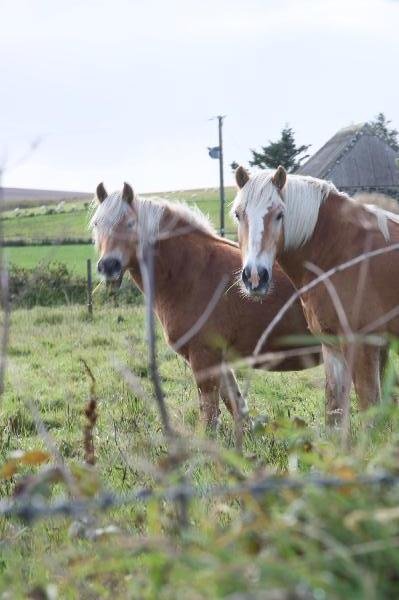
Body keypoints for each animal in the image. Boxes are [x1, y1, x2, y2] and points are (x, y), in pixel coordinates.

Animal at [90, 180, 322, 428]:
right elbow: (236, 406)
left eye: (131, 223)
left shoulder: (204, 358)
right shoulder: (220, 360)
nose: (109, 266)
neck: (193, 271)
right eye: (97, 224)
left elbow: (209, 416)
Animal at [233, 166, 399, 424]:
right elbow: (334, 412)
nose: (255, 277)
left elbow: (370, 413)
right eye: (238, 214)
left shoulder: (363, 345)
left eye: (280, 214)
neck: (339, 250)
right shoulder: (332, 346)